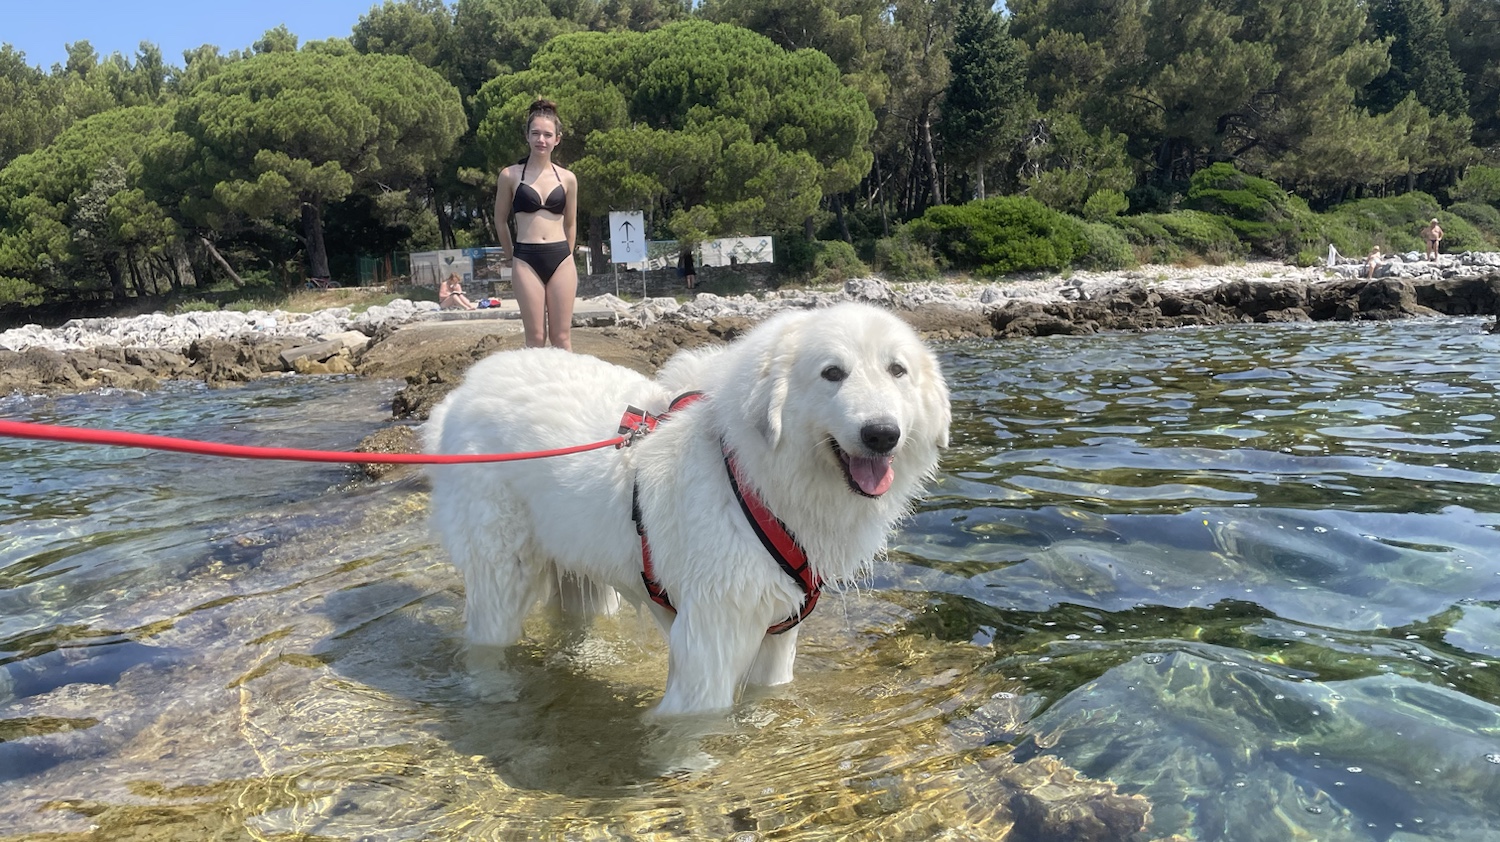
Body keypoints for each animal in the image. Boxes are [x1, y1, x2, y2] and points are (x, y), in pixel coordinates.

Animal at [424, 302, 950, 715]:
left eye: (897, 370)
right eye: (832, 373)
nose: (882, 434)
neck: (754, 480)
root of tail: (460, 392)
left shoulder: (778, 631)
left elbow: (770, 696)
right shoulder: (710, 638)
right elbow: (700, 722)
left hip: (581, 574)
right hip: (501, 570)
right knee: (485, 640)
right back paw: (495, 691)